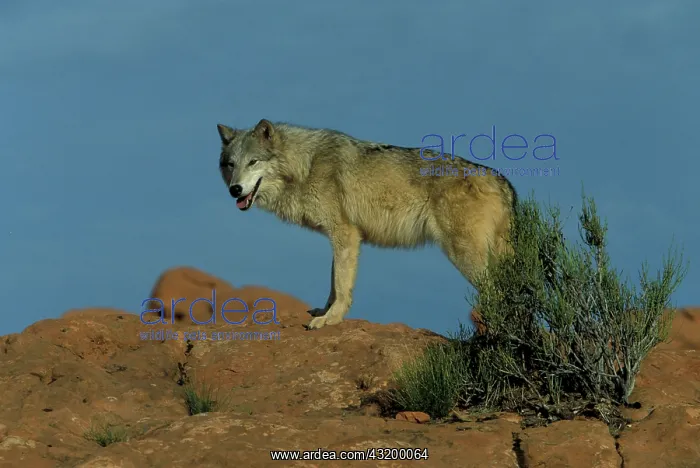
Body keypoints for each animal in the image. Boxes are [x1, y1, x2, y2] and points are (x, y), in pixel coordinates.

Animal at [216, 119, 517, 330]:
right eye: (231, 164)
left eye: (253, 161)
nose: (234, 190)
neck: (305, 166)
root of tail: (501, 180)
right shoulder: (342, 238)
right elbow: (334, 282)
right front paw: (325, 312)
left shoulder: (345, 233)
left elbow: (341, 284)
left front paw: (331, 319)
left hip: (464, 255)